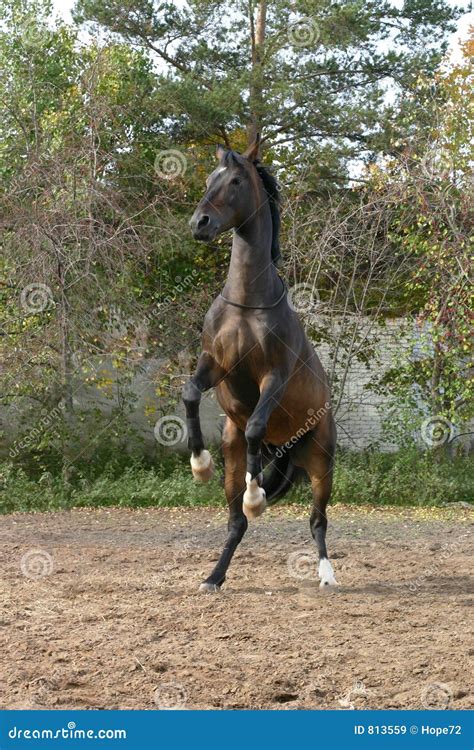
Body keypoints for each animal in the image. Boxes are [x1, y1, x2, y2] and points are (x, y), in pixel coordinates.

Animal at [182, 135, 336, 592]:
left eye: (234, 181)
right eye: (209, 178)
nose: (199, 224)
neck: (247, 303)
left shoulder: (275, 377)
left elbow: (254, 424)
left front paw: (256, 497)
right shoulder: (215, 364)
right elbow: (190, 393)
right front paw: (200, 465)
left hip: (321, 464)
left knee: (318, 520)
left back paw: (326, 575)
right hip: (241, 458)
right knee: (236, 524)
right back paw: (214, 577)